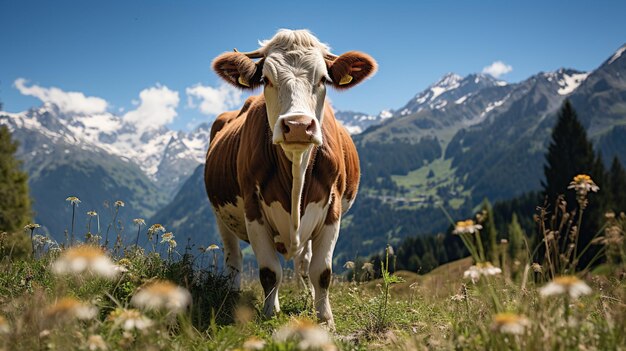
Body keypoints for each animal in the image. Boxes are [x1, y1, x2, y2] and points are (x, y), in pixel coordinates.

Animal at [204, 28, 376, 328]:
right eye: (266, 79)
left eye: (323, 79)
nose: (297, 125)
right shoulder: (252, 208)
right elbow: (269, 271)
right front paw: (270, 313)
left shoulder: (333, 208)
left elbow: (322, 271)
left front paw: (324, 317)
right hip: (220, 216)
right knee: (233, 257)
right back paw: (234, 294)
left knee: (303, 262)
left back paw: (307, 294)